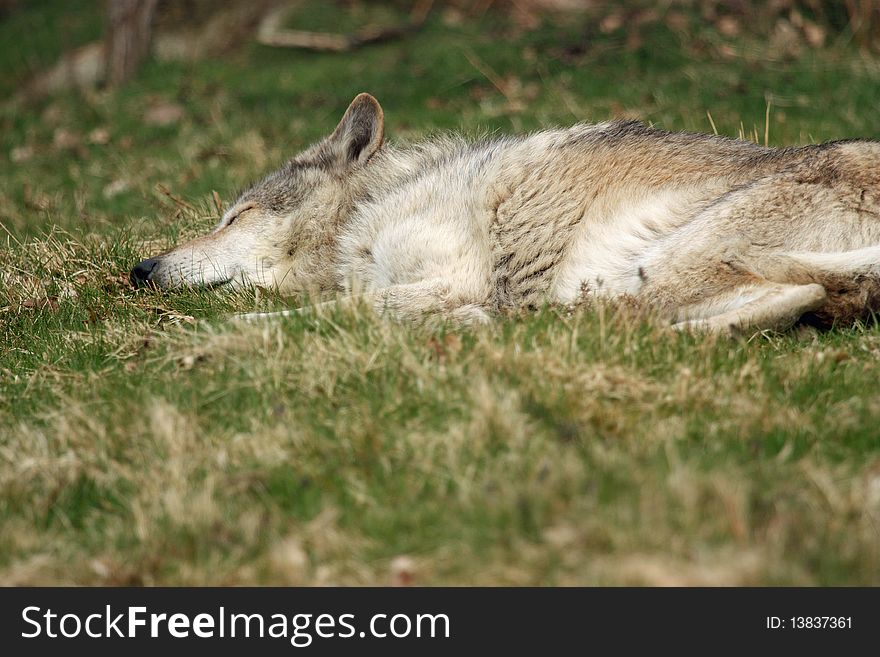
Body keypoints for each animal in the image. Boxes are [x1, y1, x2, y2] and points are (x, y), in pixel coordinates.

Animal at [131, 93, 880, 330]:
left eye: (236, 216)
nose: (140, 268)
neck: (366, 210)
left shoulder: (445, 274)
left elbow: (334, 312)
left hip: (669, 256)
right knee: (799, 296)